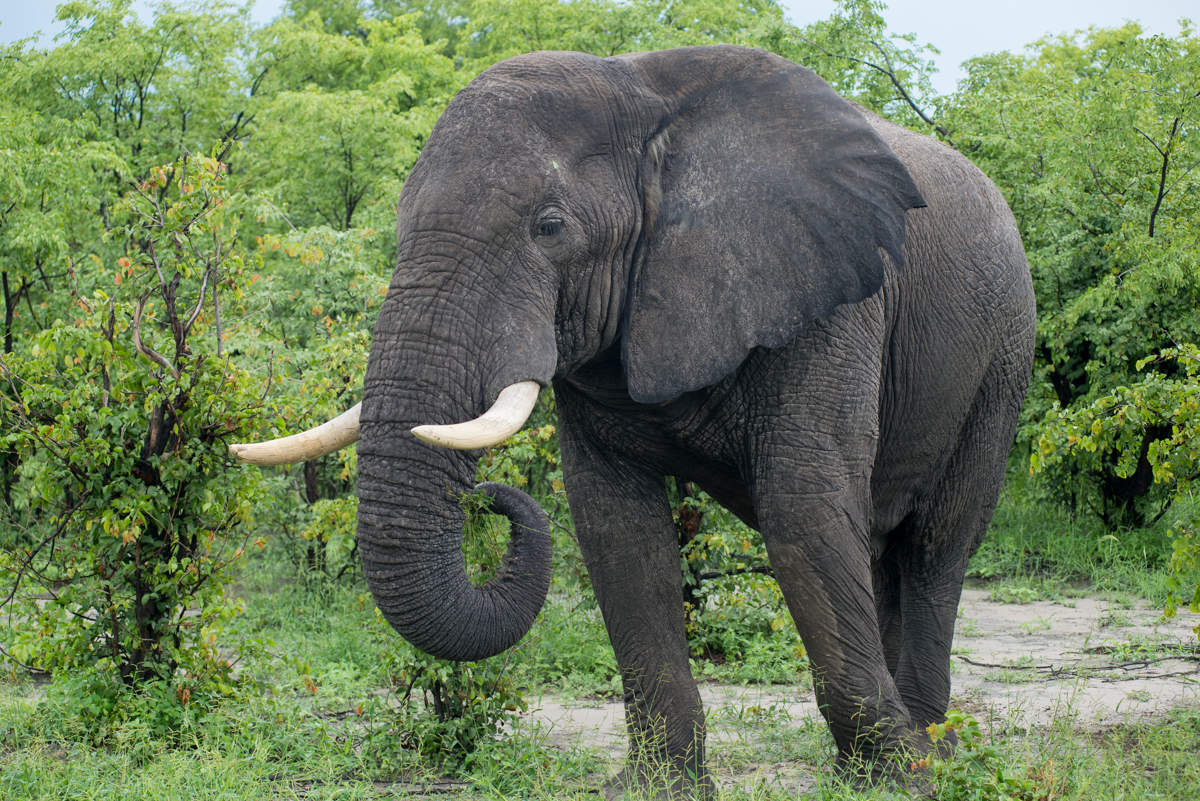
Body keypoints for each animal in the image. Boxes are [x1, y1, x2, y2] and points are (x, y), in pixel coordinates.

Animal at [231, 43, 1032, 801]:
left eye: (550, 227)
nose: (490, 496)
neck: (639, 93)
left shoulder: (828, 292)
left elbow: (802, 507)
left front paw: (895, 779)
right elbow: (618, 530)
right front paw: (660, 785)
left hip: (1002, 359)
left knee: (935, 544)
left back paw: (932, 747)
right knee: (884, 545)